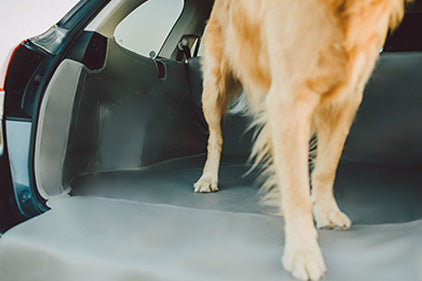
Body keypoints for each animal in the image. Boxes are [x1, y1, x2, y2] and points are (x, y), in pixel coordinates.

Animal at [195, 0, 412, 280]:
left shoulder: (348, 96)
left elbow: (326, 167)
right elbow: (296, 188)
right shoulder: (289, 97)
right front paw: (303, 250)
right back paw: (208, 177)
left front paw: (326, 211)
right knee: (215, 137)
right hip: (213, 87)